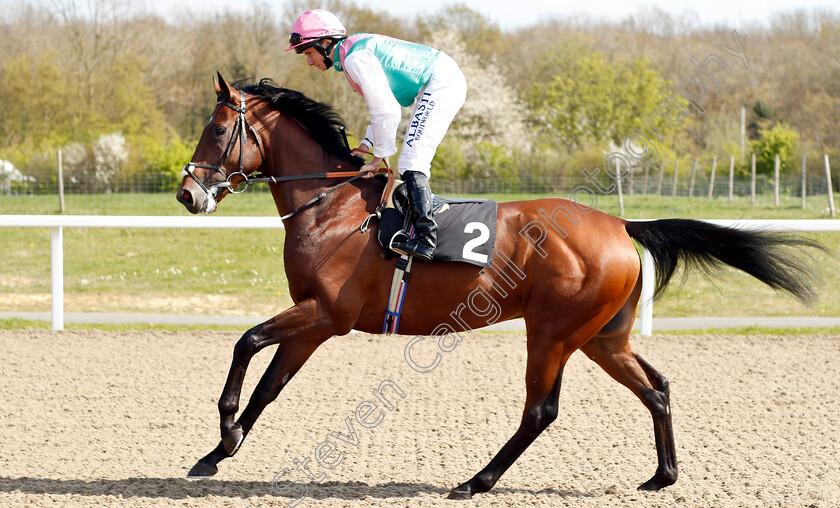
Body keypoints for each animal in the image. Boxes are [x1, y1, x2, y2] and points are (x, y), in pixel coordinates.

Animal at [174, 73, 824, 498]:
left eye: (217, 129)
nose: (186, 193)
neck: (330, 207)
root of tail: (620, 224)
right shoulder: (314, 320)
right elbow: (269, 386)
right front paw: (218, 452)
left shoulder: (327, 314)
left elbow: (246, 343)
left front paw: (225, 430)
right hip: (602, 337)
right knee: (656, 387)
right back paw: (662, 476)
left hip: (553, 331)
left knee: (541, 410)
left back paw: (476, 480)